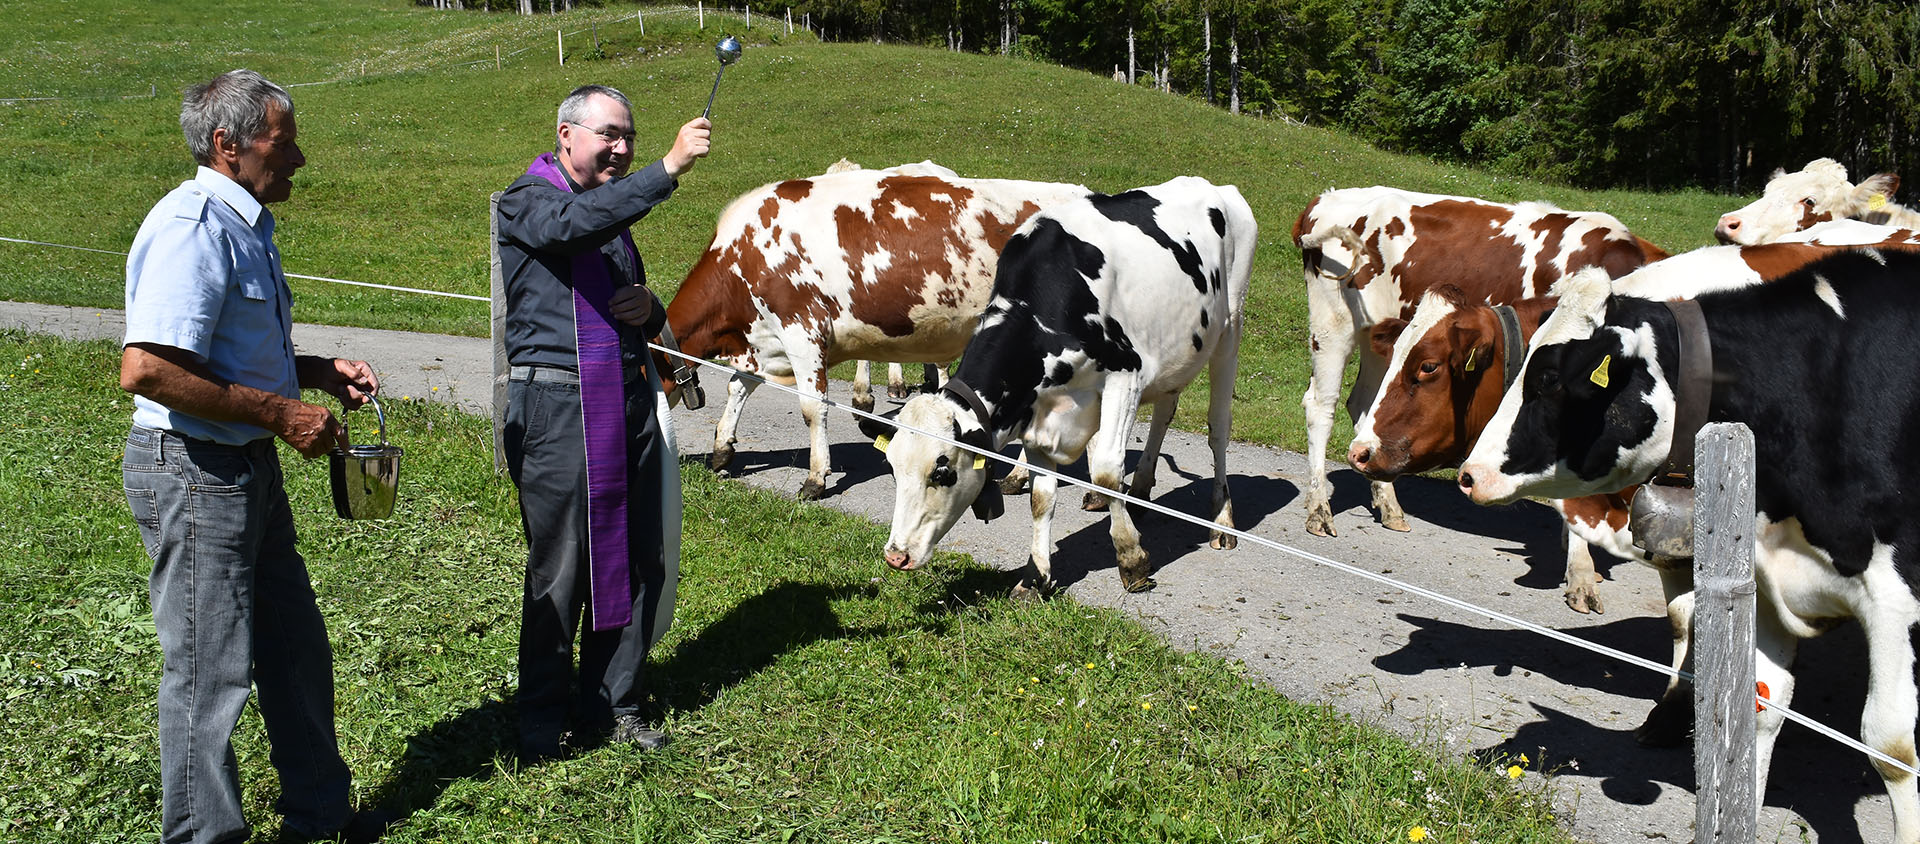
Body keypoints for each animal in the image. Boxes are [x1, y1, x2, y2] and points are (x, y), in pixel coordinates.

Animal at [664, 163, 1090, 502]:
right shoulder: (761, 341)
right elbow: (737, 387)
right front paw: (722, 450)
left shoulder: (801, 329)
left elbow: (812, 408)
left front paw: (815, 479)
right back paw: (1022, 478)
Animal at [860, 175, 1251, 598]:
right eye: (893, 469)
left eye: (941, 472)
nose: (896, 556)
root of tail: (1213, 185)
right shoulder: (1034, 408)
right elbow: (1041, 498)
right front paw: (1035, 575)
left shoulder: (1126, 375)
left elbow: (1107, 472)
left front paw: (1132, 559)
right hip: (1178, 352)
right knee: (1165, 412)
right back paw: (1141, 491)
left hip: (1230, 329)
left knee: (1219, 429)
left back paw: (1222, 520)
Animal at [1297, 188, 1674, 537]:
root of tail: (1325, 198)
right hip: (1333, 326)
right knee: (1321, 405)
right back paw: (1319, 510)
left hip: (1379, 338)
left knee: (1363, 405)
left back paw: (1389, 503)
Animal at [1451, 251, 1920, 844]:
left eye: (1551, 378)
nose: (1469, 475)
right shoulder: (1766, 582)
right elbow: (1759, 706)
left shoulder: (1894, 601)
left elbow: (1891, 748)